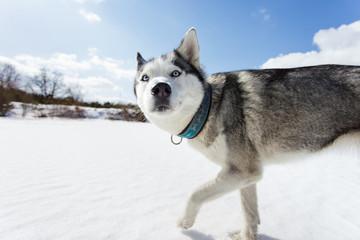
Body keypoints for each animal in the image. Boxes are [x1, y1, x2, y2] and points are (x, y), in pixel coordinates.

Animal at [134, 28, 360, 240]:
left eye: (175, 73)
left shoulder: (241, 170)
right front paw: (247, 236)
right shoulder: (247, 174)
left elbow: (196, 193)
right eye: (145, 78)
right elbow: (249, 213)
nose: (160, 89)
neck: (207, 109)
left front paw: (184, 221)